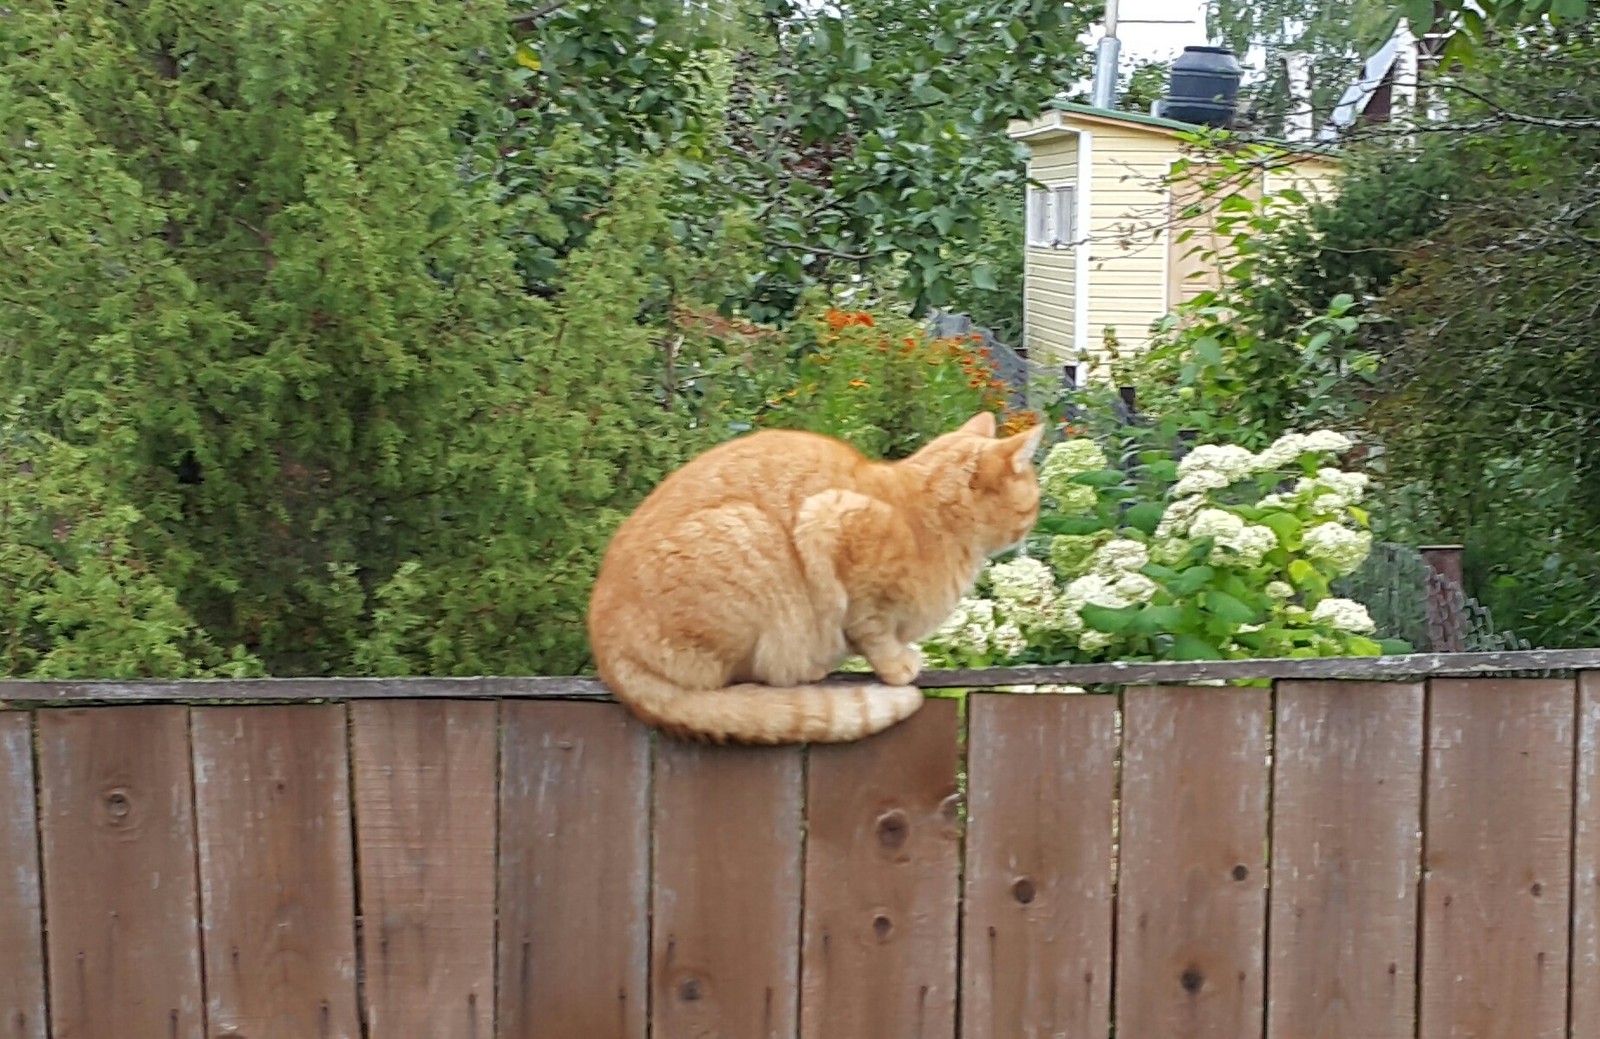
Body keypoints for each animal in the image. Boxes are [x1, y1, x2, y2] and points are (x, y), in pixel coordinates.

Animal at [588, 409, 1049, 742]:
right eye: (1033, 498)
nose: (1035, 522)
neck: (928, 519)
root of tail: (609, 655)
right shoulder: (832, 522)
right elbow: (874, 630)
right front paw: (898, 665)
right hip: (753, 536)